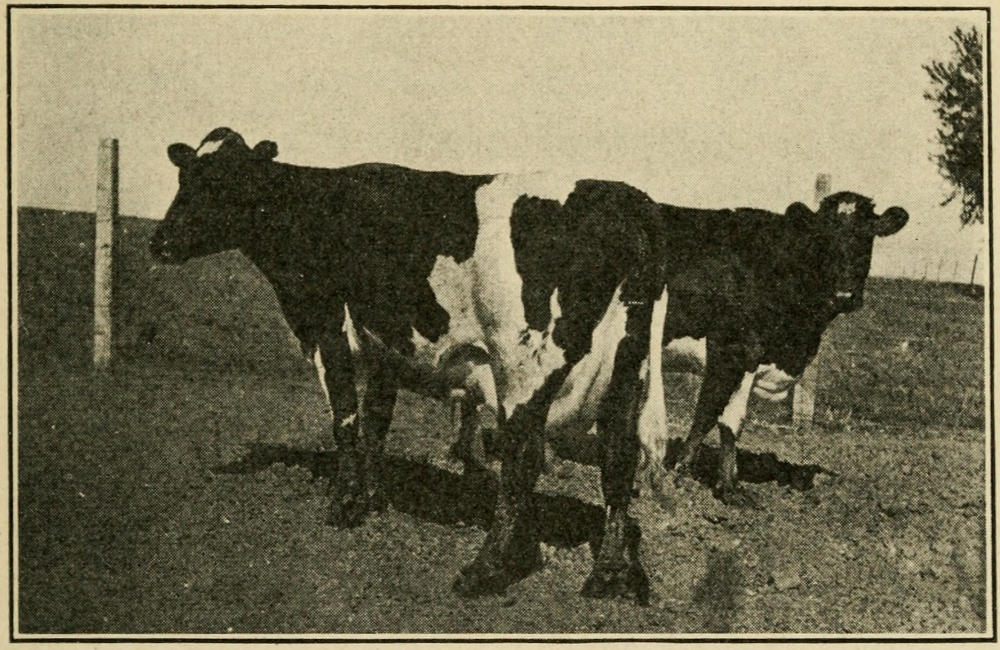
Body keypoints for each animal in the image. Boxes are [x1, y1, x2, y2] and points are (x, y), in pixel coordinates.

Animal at [152, 128, 668, 604]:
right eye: (184, 174)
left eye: (223, 181)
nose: (160, 242)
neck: (313, 210)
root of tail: (629, 199)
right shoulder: (387, 349)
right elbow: (377, 422)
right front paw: (370, 496)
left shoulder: (328, 325)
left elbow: (346, 417)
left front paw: (344, 503)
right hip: (627, 370)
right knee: (618, 460)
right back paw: (611, 574)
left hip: (524, 366)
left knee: (522, 459)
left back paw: (488, 568)